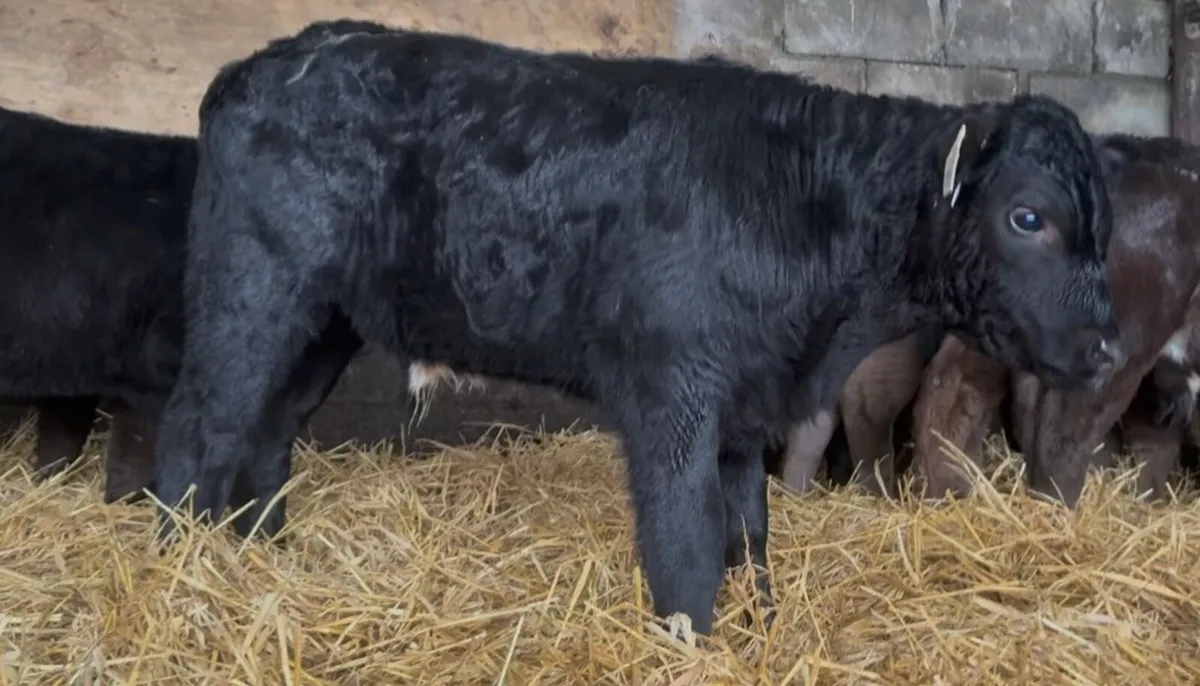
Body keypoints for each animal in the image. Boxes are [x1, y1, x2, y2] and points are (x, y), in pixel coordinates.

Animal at [152, 19, 1120, 636]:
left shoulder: (746, 405)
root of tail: (273, 60)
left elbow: (747, 534)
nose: (1109, 346)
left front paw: (760, 633)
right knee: (199, 427)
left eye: (1101, 222)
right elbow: (685, 543)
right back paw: (176, 580)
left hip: (326, 317)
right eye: (1028, 217)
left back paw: (269, 560)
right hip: (253, 287)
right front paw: (692, 642)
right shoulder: (671, 395)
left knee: (269, 430)